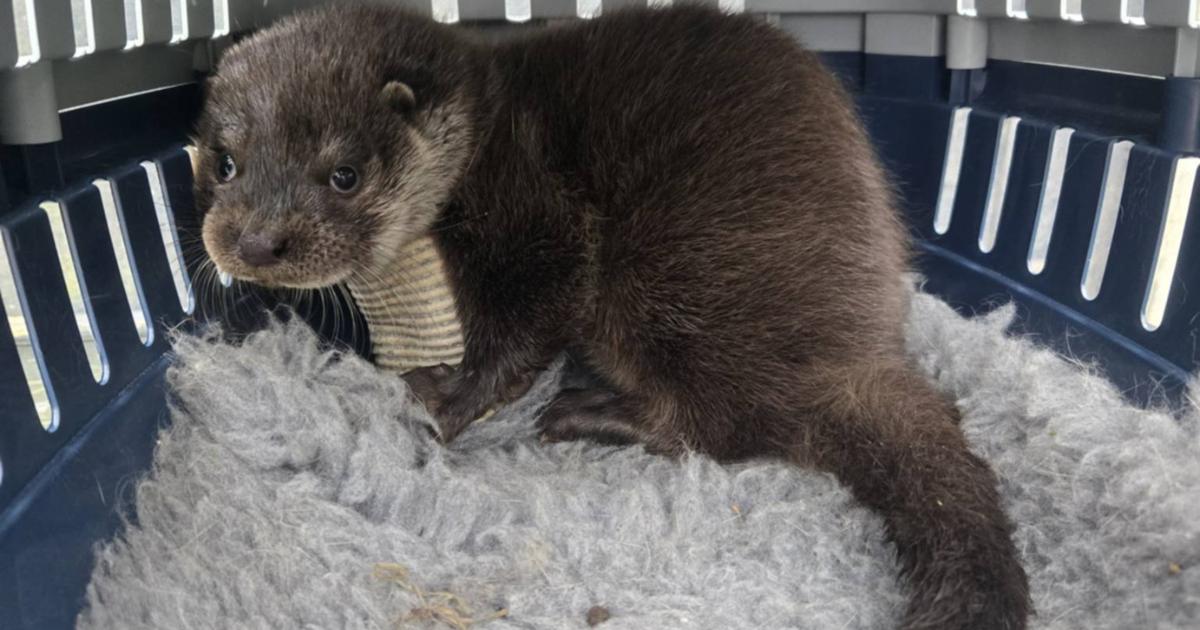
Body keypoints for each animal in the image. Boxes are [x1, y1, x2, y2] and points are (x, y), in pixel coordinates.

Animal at [193, 4, 1030, 629]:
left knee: (722, 426)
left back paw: (590, 412)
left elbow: (535, 312)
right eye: (224, 161)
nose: (256, 243)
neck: (487, 126)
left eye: (344, 174)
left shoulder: (534, 206)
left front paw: (447, 399)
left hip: (664, 280)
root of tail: (856, 348)